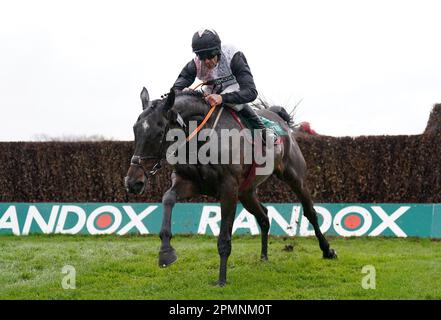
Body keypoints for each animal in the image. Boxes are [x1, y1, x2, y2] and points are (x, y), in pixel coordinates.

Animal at [124, 87, 336, 284]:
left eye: (159, 133)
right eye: (135, 129)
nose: (133, 182)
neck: (201, 139)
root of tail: (278, 116)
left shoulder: (228, 189)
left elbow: (224, 237)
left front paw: (221, 279)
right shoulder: (188, 182)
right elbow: (168, 199)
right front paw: (166, 251)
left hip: (294, 177)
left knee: (310, 212)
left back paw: (327, 251)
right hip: (246, 192)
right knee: (264, 217)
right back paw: (264, 257)